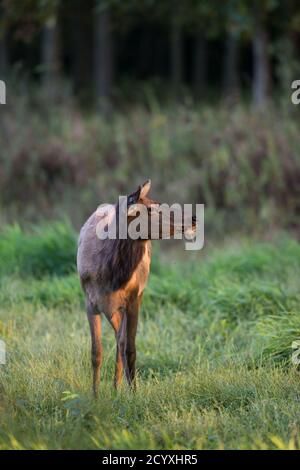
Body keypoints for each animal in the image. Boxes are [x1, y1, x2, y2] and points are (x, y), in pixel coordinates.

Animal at [77, 180, 197, 396]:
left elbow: (130, 348)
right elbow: (96, 352)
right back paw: (114, 388)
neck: (112, 276)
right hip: (109, 308)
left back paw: (117, 388)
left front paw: (133, 393)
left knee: (121, 341)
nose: (193, 218)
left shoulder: (134, 298)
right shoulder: (90, 301)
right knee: (117, 339)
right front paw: (95, 396)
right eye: (150, 208)